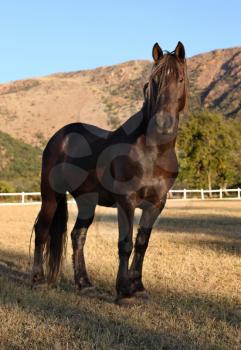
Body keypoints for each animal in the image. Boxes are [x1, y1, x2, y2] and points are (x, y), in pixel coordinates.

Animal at [30, 41, 188, 304]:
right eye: (154, 80)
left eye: (181, 79)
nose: (163, 123)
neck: (152, 151)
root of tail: (59, 136)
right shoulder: (126, 201)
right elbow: (125, 244)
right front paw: (124, 292)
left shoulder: (156, 204)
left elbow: (142, 243)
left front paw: (138, 287)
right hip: (50, 195)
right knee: (42, 229)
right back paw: (38, 280)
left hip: (86, 201)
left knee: (77, 236)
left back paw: (84, 284)